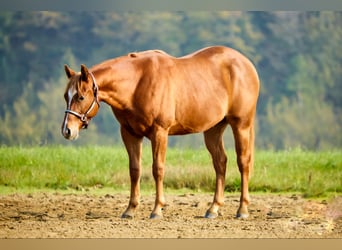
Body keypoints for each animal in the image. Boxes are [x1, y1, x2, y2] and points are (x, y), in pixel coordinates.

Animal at [61, 46, 260, 219]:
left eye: (81, 97)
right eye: (65, 96)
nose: (67, 130)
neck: (137, 83)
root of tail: (246, 64)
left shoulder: (159, 132)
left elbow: (158, 169)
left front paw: (157, 210)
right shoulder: (130, 134)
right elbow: (135, 170)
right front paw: (130, 209)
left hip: (241, 125)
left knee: (243, 163)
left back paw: (242, 209)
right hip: (213, 129)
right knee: (220, 163)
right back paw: (213, 209)